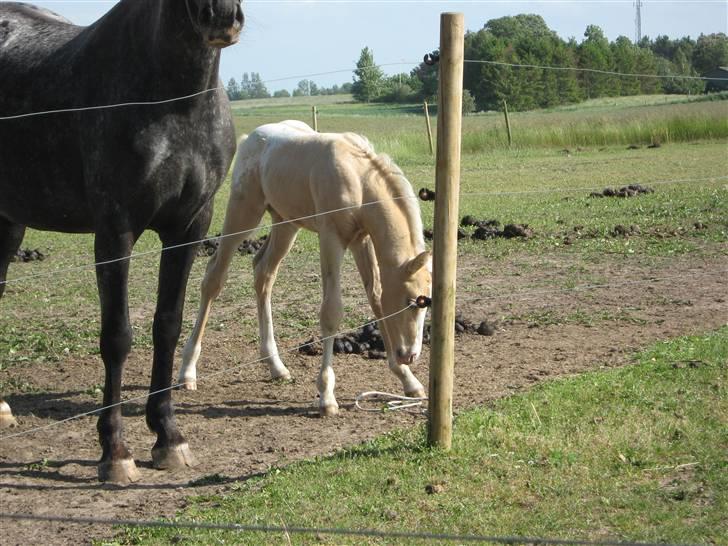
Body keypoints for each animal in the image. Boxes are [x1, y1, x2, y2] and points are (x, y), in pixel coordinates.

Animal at [0, 1, 245, 484]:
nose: (220, 16)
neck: (174, 102)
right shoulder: (116, 231)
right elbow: (117, 336)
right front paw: (114, 450)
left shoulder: (189, 228)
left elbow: (167, 325)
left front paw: (168, 436)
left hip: (8, 223)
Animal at [181, 121, 432, 414]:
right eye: (411, 301)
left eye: (425, 303)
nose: (410, 355)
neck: (358, 179)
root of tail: (250, 138)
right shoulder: (331, 238)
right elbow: (332, 312)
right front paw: (326, 396)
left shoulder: (361, 240)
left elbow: (377, 297)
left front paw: (408, 380)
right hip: (244, 213)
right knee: (214, 278)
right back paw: (187, 371)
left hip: (285, 224)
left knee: (263, 272)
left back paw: (276, 366)